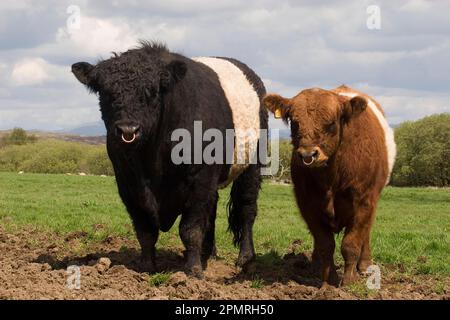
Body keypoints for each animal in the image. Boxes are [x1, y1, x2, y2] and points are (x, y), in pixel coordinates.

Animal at [71, 42, 268, 278]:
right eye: (106, 92)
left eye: (152, 91)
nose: (128, 130)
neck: (153, 159)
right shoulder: (128, 183)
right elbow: (145, 230)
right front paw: (146, 267)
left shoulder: (200, 180)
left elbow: (190, 229)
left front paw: (193, 271)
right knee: (212, 211)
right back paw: (208, 254)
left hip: (252, 165)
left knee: (247, 209)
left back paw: (245, 258)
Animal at [266, 85, 396, 288]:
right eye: (294, 122)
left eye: (331, 122)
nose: (308, 155)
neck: (331, 178)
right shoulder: (307, 204)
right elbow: (325, 244)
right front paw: (329, 281)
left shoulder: (363, 201)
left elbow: (351, 243)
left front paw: (349, 281)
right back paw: (315, 264)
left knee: (365, 232)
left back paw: (365, 265)